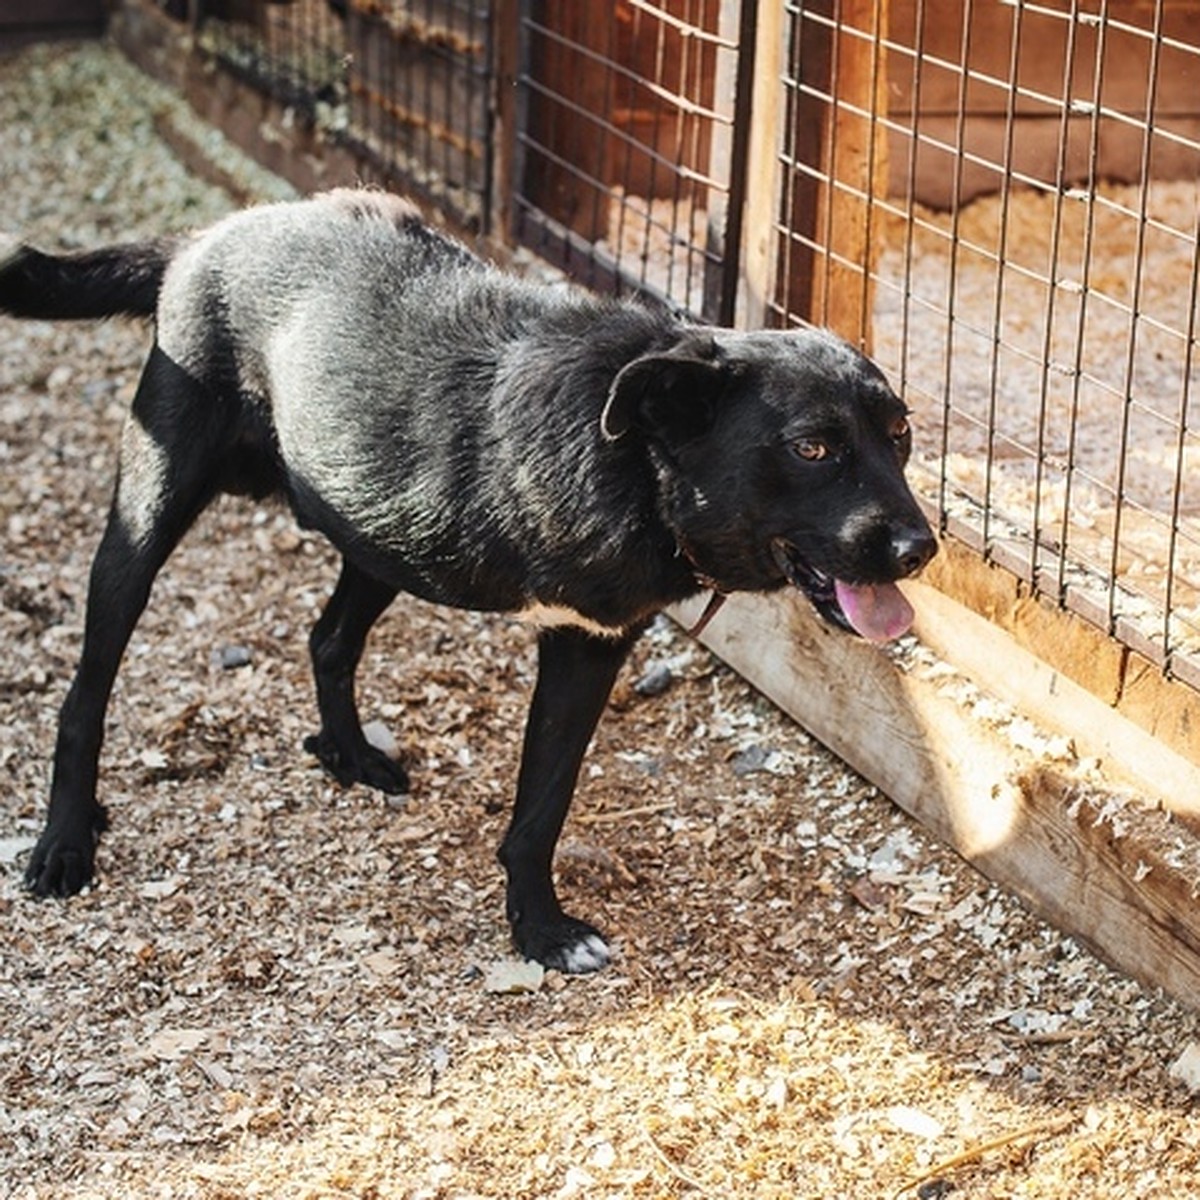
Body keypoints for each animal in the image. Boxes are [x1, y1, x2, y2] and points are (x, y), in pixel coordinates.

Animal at [0, 189, 936, 974]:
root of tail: (206, 237)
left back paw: (349, 754)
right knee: (86, 690)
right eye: (812, 447)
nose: (919, 548)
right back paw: (66, 840)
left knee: (328, 639)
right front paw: (542, 934)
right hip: (150, 512)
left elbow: (543, 804)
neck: (636, 458)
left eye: (900, 436)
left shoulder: (590, 645)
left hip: (381, 530)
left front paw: (540, 926)